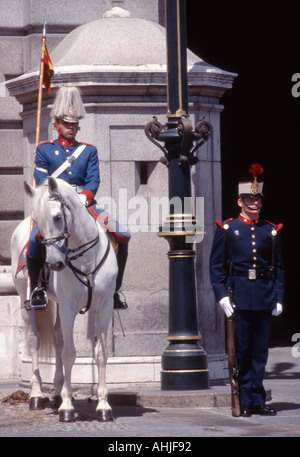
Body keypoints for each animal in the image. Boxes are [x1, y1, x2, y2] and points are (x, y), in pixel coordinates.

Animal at [9, 176, 117, 422]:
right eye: (38, 223)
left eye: (58, 217)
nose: (54, 264)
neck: (85, 259)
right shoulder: (69, 308)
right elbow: (69, 354)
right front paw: (67, 407)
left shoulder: (104, 308)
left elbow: (101, 355)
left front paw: (103, 405)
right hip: (25, 300)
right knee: (35, 339)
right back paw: (37, 394)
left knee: (58, 337)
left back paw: (57, 391)